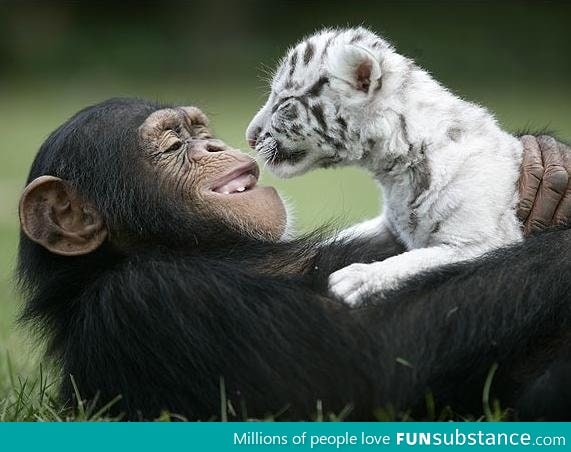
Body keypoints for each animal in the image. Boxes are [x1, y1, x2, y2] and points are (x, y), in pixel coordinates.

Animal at [15, 98, 571, 420]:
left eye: (199, 130)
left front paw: (544, 167)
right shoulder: (149, 302)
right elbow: (367, 370)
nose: (214, 144)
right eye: (174, 143)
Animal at [246, 26, 524, 306]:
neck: (397, 172)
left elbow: (418, 260)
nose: (249, 137)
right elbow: (339, 237)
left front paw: (354, 279)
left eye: (284, 101)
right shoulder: (389, 225)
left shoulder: (479, 243)